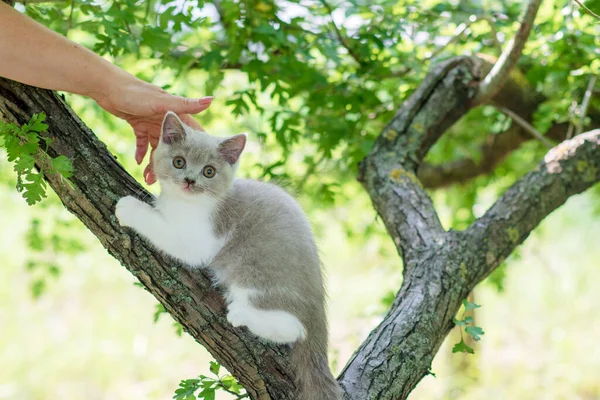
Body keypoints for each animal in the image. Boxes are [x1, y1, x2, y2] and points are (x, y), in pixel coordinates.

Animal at [116, 111, 342, 398]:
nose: (190, 180)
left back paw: (242, 314)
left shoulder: (199, 241)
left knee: (295, 328)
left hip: (253, 272)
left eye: (208, 171)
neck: (187, 203)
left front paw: (129, 208)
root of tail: (318, 309)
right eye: (179, 162)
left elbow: (161, 228)